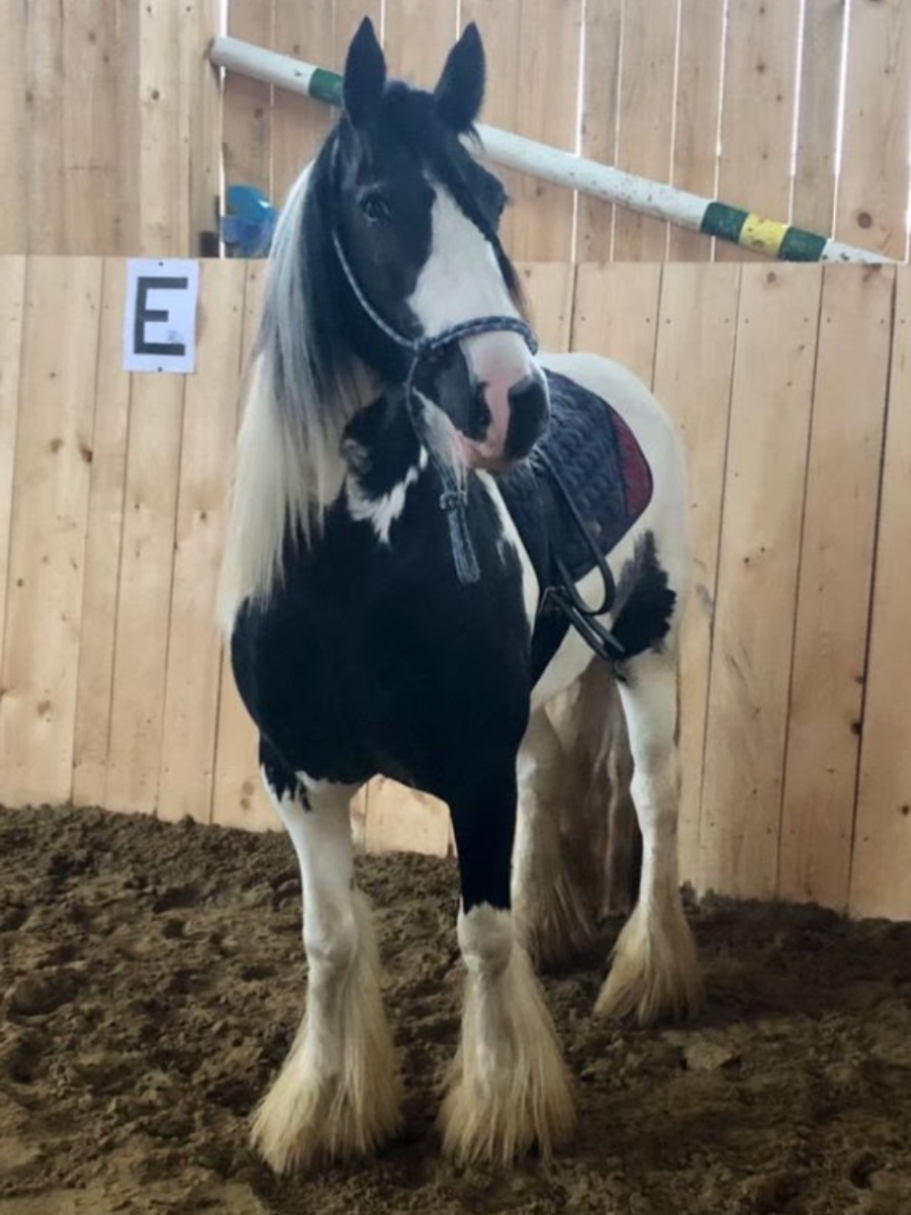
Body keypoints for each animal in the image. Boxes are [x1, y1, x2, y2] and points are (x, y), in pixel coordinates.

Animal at [218, 17, 703, 1172]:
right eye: (376, 203)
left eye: (493, 199)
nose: (508, 400)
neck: (352, 573)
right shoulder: (296, 773)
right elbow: (329, 938)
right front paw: (326, 1108)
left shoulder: (471, 773)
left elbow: (478, 935)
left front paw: (501, 1106)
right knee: (550, 783)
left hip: (647, 655)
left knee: (653, 800)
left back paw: (647, 973)